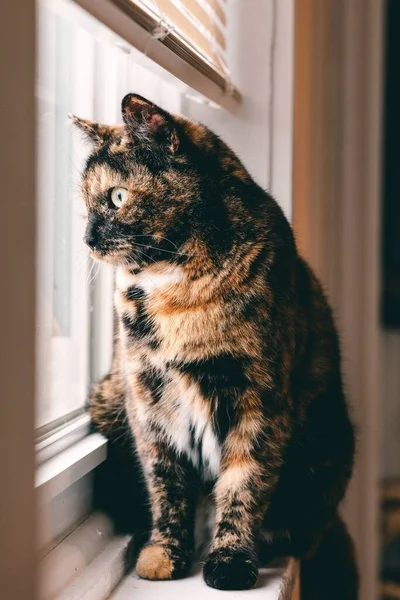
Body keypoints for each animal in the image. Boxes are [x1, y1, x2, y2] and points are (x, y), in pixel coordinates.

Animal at [71, 94, 356, 596]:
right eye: (85, 203)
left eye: (117, 197)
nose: (87, 239)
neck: (175, 292)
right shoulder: (148, 399)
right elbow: (165, 481)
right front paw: (165, 554)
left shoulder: (258, 399)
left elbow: (245, 481)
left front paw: (230, 561)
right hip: (107, 399)